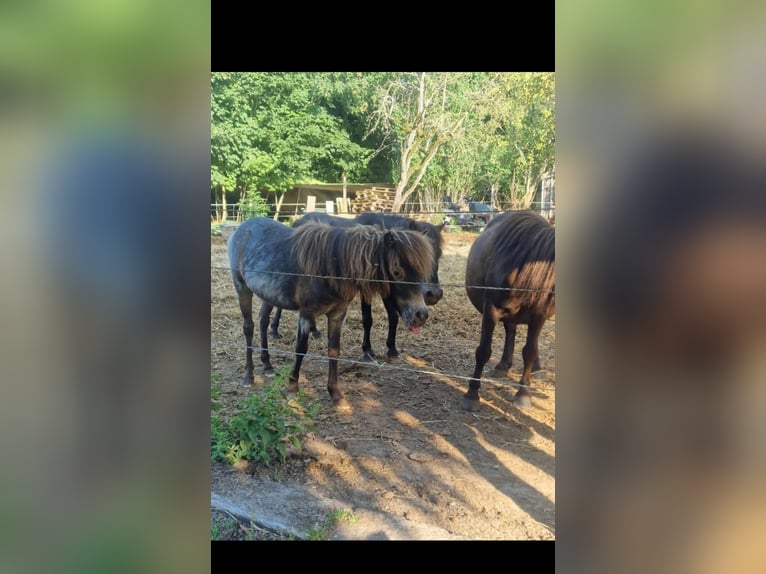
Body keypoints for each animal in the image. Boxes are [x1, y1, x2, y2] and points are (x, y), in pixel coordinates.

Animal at [268, 211, 445, 363]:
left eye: (439, 254)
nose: (434, 294)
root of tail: (297, 221)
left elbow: (393, 317)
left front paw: (392, 350)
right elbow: (367, 319)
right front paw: (368, 351)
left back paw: (314, 331)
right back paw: (274, 330)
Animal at [463, 210, 555, 411]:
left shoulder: (539, 315)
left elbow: (529, 351)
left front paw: (523, 394)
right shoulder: (491, 309)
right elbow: (483, 351)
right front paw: (472, 393)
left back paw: (534, 366)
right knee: (510, 331)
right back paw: (503, 365)